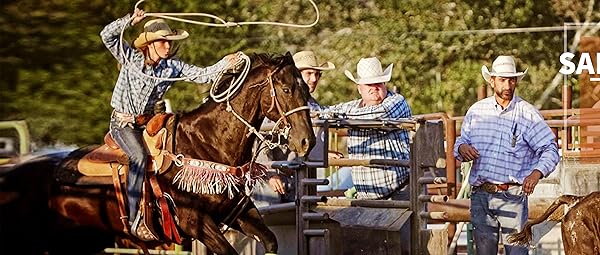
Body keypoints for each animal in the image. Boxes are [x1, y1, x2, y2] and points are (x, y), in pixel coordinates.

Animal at [0, 52, 316, 255]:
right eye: (286, 88)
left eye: (305, 88)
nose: (307, 141)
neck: (207, 145)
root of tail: (10, 174)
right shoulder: (195, 223)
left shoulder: (237, 211)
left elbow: (271, 241)